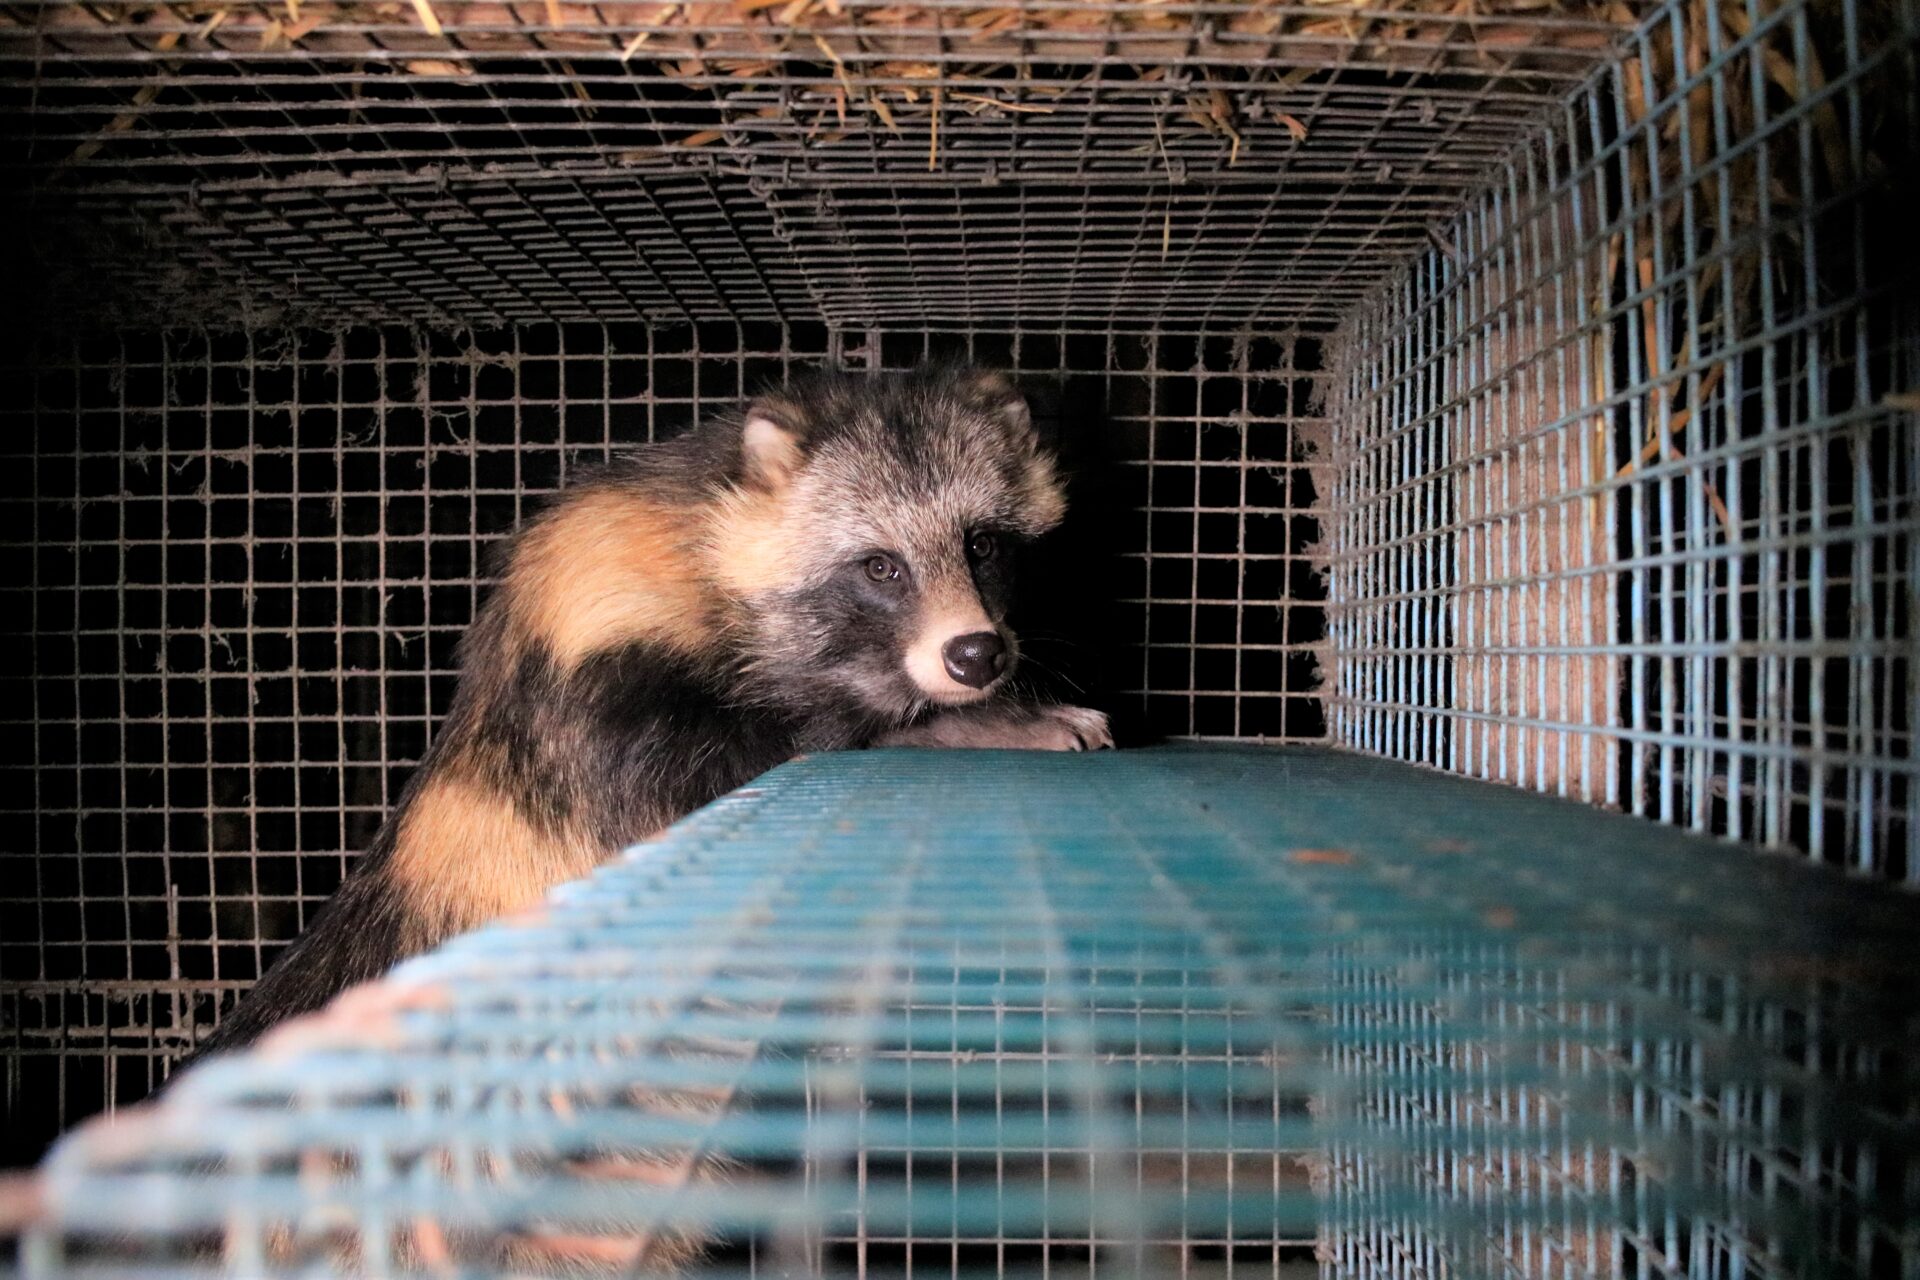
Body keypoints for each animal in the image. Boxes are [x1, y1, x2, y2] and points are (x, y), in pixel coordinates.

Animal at [190, 364, 1110, 1060]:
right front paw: (939, 720)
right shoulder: (587, 643)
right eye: (879, 567)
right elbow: (716, 761)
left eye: (983, 545)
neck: (709, 540)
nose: (978, 656)